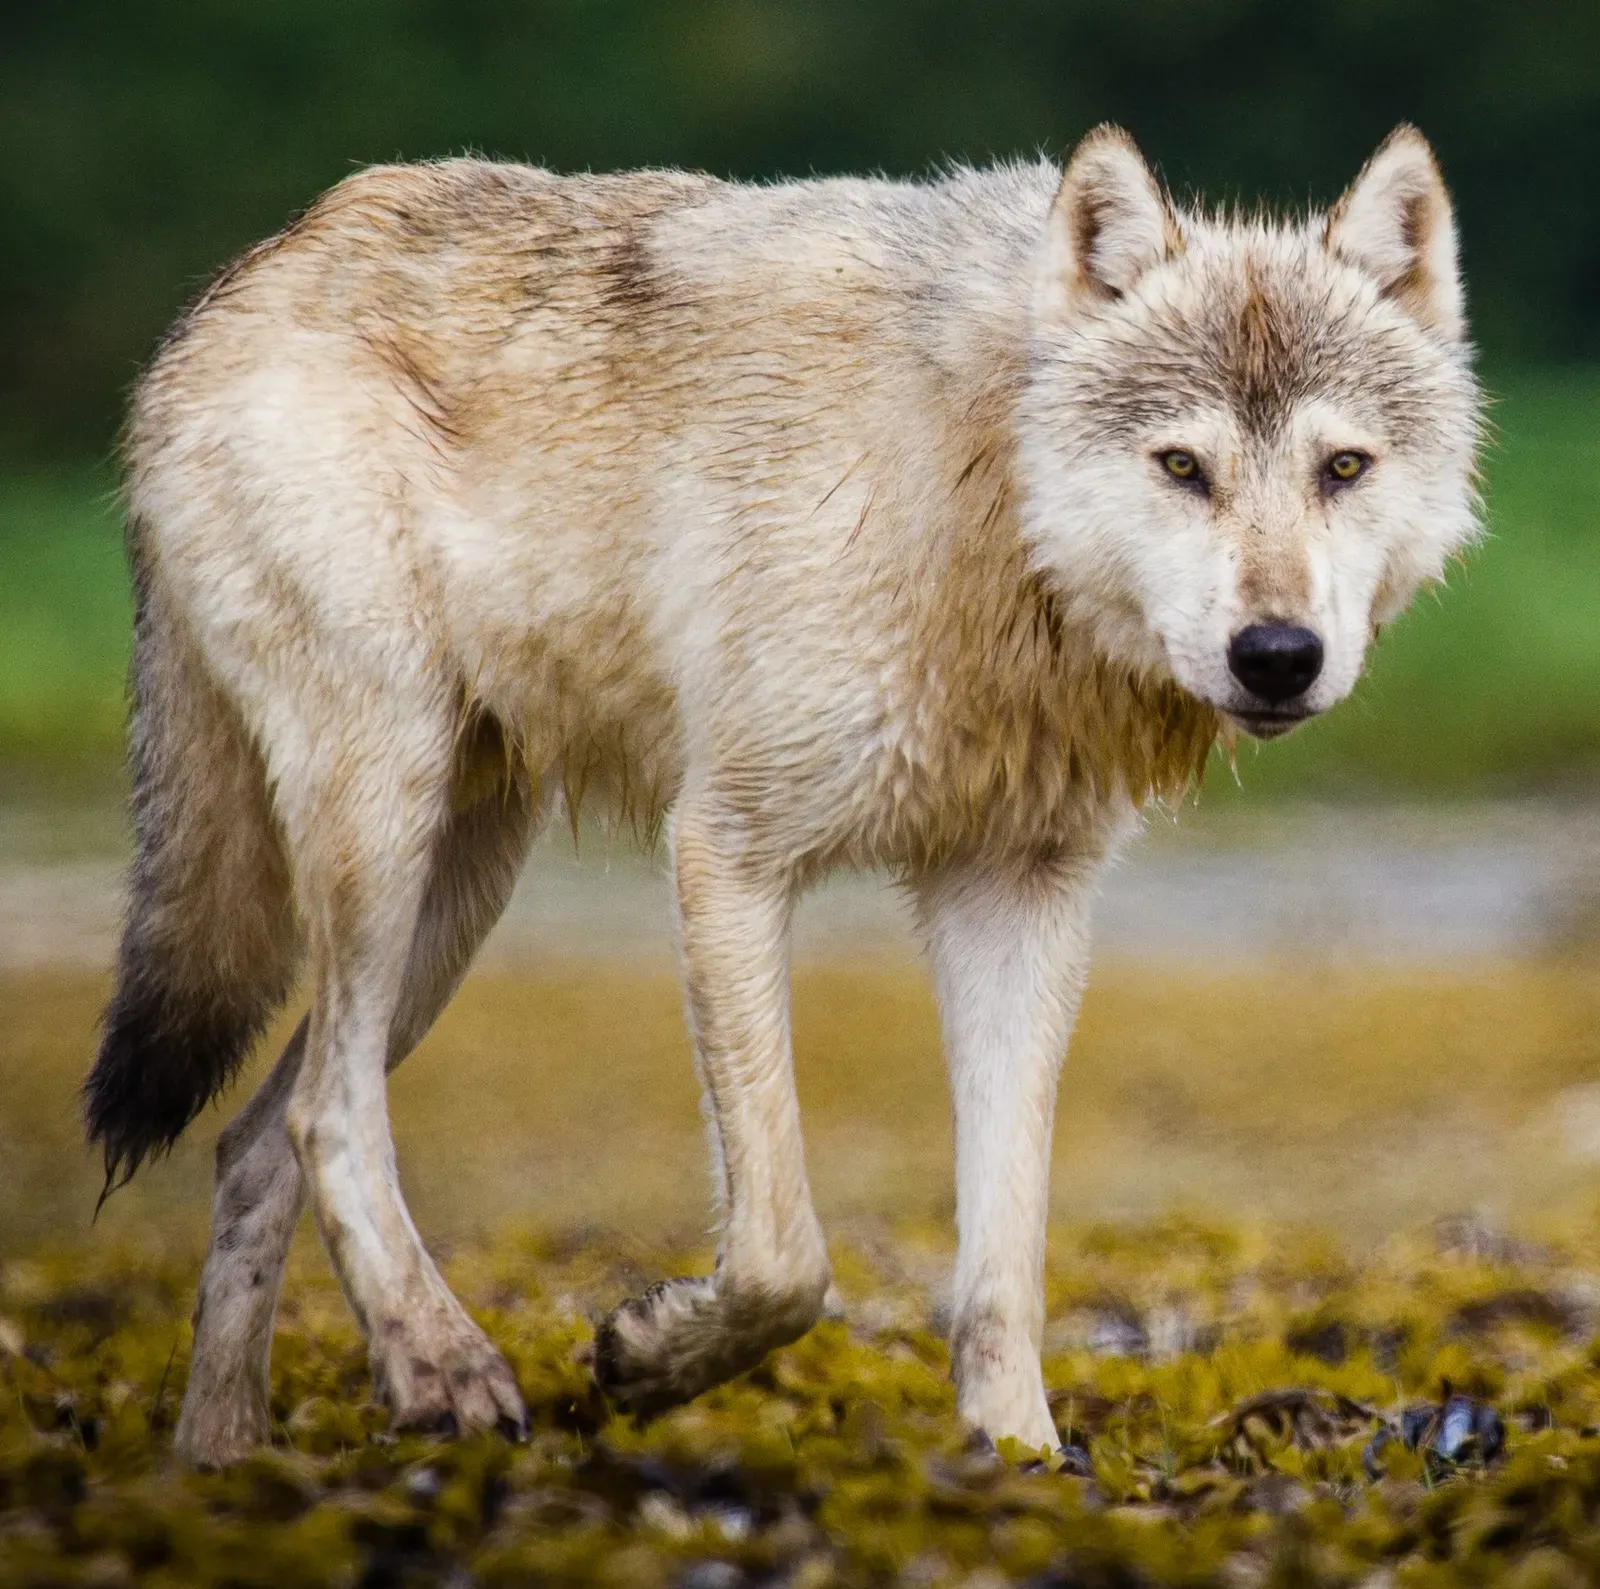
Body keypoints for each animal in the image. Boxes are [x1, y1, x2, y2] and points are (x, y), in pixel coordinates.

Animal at [85, 124, 1480, 1467]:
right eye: (1182, 465)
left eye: (1342, 467)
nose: (1277, 654)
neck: (979, 497)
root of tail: (242, 277)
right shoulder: (726, 850)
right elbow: (783, 1256)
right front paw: (649, 1357)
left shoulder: (1014, 894)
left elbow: (1003, 1256)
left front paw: (1018, 1450)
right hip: (386, 830)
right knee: (325, 1112)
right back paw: (444, 1365)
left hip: (457, 892)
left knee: (255, 1142)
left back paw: (226, 1463)